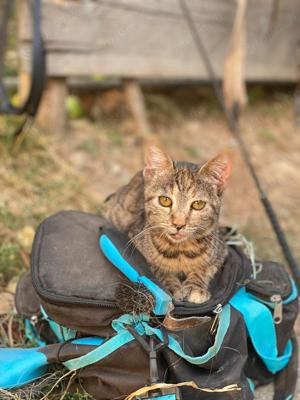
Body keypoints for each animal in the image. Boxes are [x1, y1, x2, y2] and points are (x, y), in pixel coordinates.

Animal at [105, 145, 232, 304]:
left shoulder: (221, 250)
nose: (179, 224)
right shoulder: (134, 237)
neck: (180, 251)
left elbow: (204, 268)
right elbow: (155, 265)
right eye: (165, 200)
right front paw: (171, 283)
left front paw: (194, 286)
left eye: (198, 204)